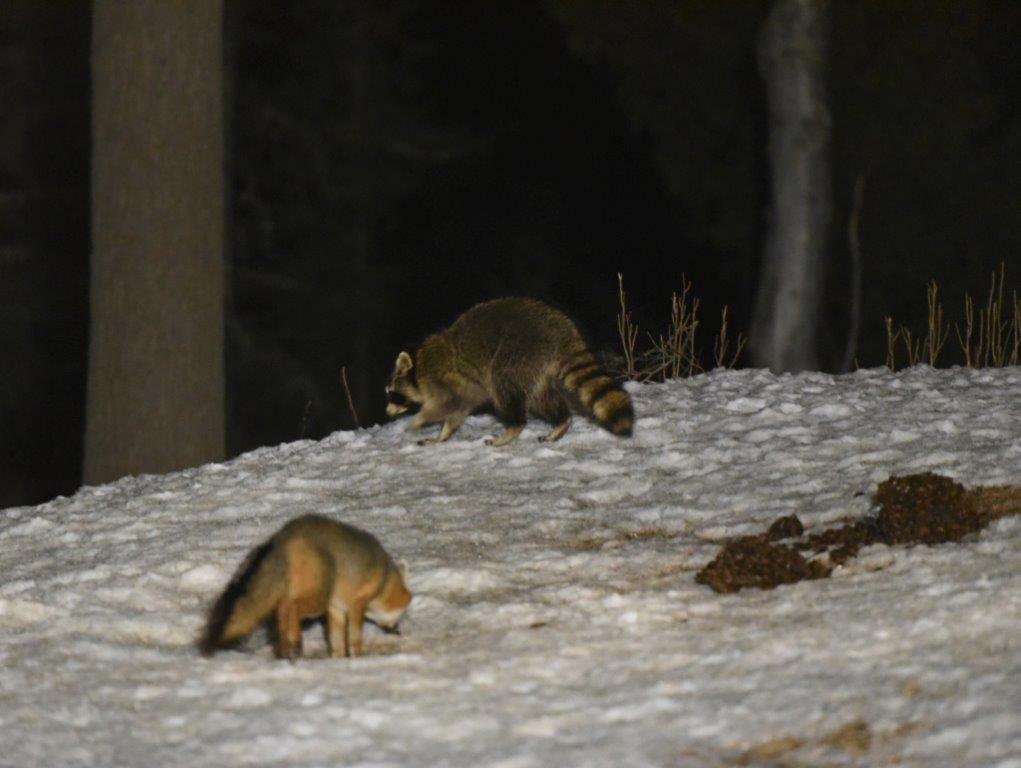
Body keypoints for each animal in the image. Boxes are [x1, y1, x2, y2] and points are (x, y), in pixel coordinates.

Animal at [198, 514, 411, 660]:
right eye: (402, 614)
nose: (399, 631)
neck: (384, 579)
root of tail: (282, 537)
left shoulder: (336, 610)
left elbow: (336, 643)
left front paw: (338, 660)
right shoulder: (355, 606)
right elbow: (354, 639)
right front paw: (357, 659)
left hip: (296, 596)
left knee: (282, 613)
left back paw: (286, 648)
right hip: (317, 599)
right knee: (292, 609)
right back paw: (295, 643)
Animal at [385, 297, 634, 446]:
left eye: (393, 394)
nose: (387, 411)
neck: (419, 366)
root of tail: (561, 329)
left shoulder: (445, 380)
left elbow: (449, 404)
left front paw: (420, 420)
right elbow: (457, 411)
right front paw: (442, 435)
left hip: (518, 353)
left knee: (503, 388)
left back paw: (513, 427)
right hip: (536, 363)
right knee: (539, 398)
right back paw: (561, 421)